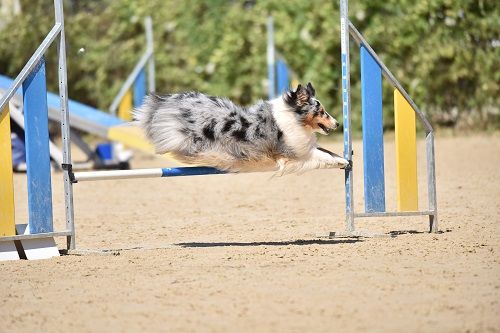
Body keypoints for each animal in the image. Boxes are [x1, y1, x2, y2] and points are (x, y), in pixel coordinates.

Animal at [135, 82, 350, 174]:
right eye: (322, 111)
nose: (339, 123)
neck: (293, 117)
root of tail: (168, 101)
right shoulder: (293, 154)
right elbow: (322, 156)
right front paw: (344, 162)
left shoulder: (304, 146)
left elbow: (327, 152)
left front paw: (344, 160)